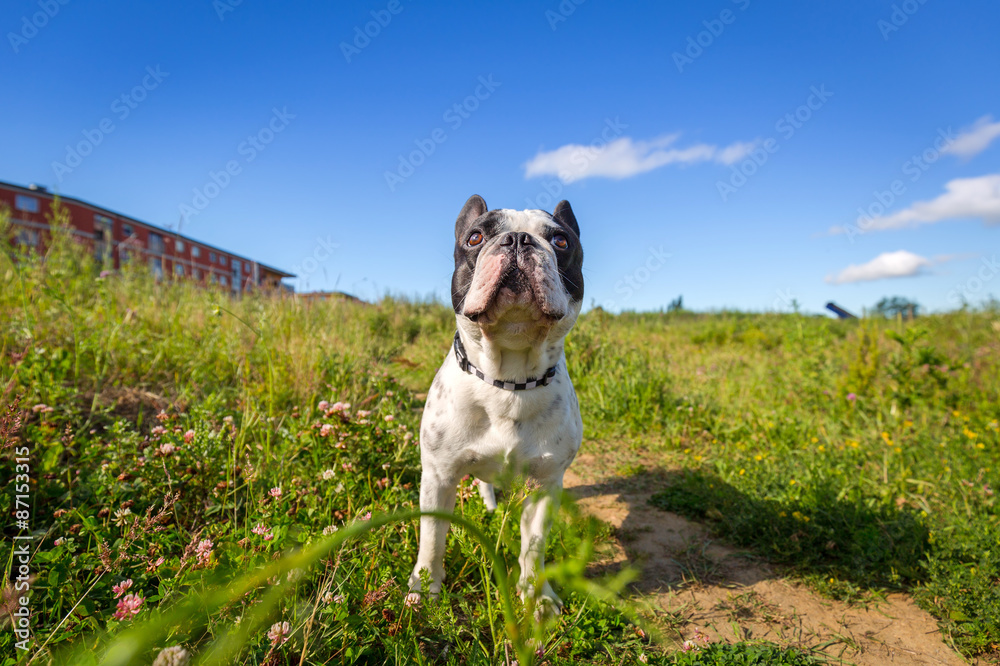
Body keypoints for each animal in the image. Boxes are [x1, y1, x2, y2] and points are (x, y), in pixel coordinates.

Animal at [406, 193, 584, 612]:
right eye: (475, 237)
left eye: (561, 241)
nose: (518, 239)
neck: (508, 381)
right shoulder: (438, 477)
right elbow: (432, 537)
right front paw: (425, 586)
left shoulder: (545, 485)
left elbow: (534, 546)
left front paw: (537, 595)